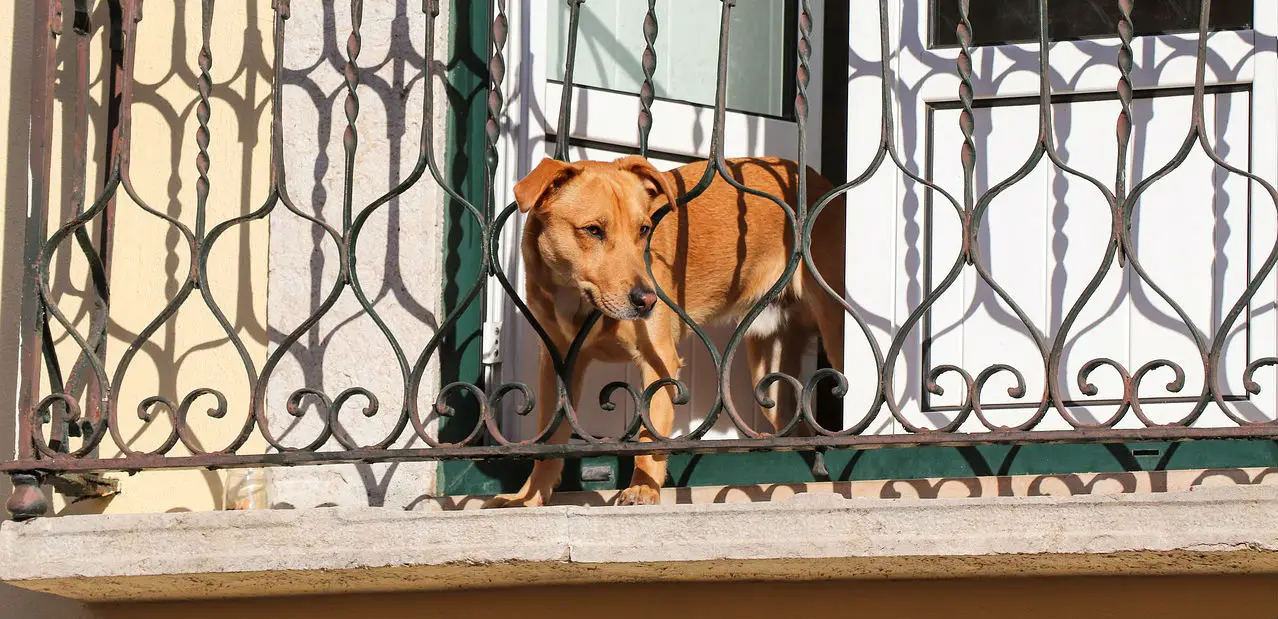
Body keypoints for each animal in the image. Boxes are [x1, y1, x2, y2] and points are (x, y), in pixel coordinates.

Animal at [483, 156, 843, 509]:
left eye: (644, 229)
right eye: (593, 230)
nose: (647, 300)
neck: (577, 300)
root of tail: (813, 176)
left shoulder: (660, 361)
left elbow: (649, 432)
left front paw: (643, 488)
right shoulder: (558, 364)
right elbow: (550, 437)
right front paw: (529, 497)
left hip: (833, 331)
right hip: (769, 371)